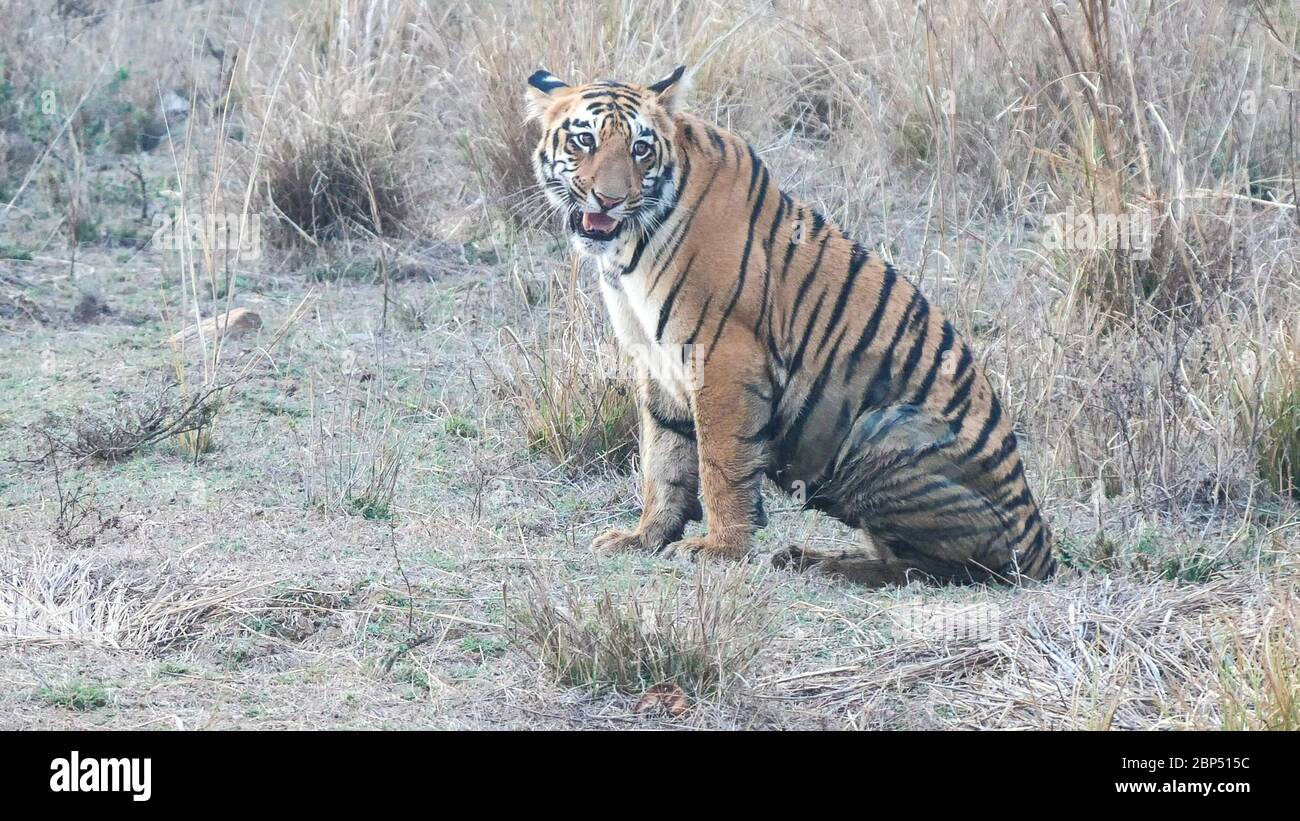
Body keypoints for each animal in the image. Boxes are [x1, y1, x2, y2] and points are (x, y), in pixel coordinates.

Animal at [522, 67, 1050, 587]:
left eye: (640, 149)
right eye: (585, 140)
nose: (609, 200)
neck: (627, 248)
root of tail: (1040, 542)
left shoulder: (723, 358)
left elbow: (720, 462)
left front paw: (719, 549)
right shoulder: (654, 361)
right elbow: (663, 458)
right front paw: (643, 537)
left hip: (882, 430)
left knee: (935, 568)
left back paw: (821, 564)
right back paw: (807, 557)